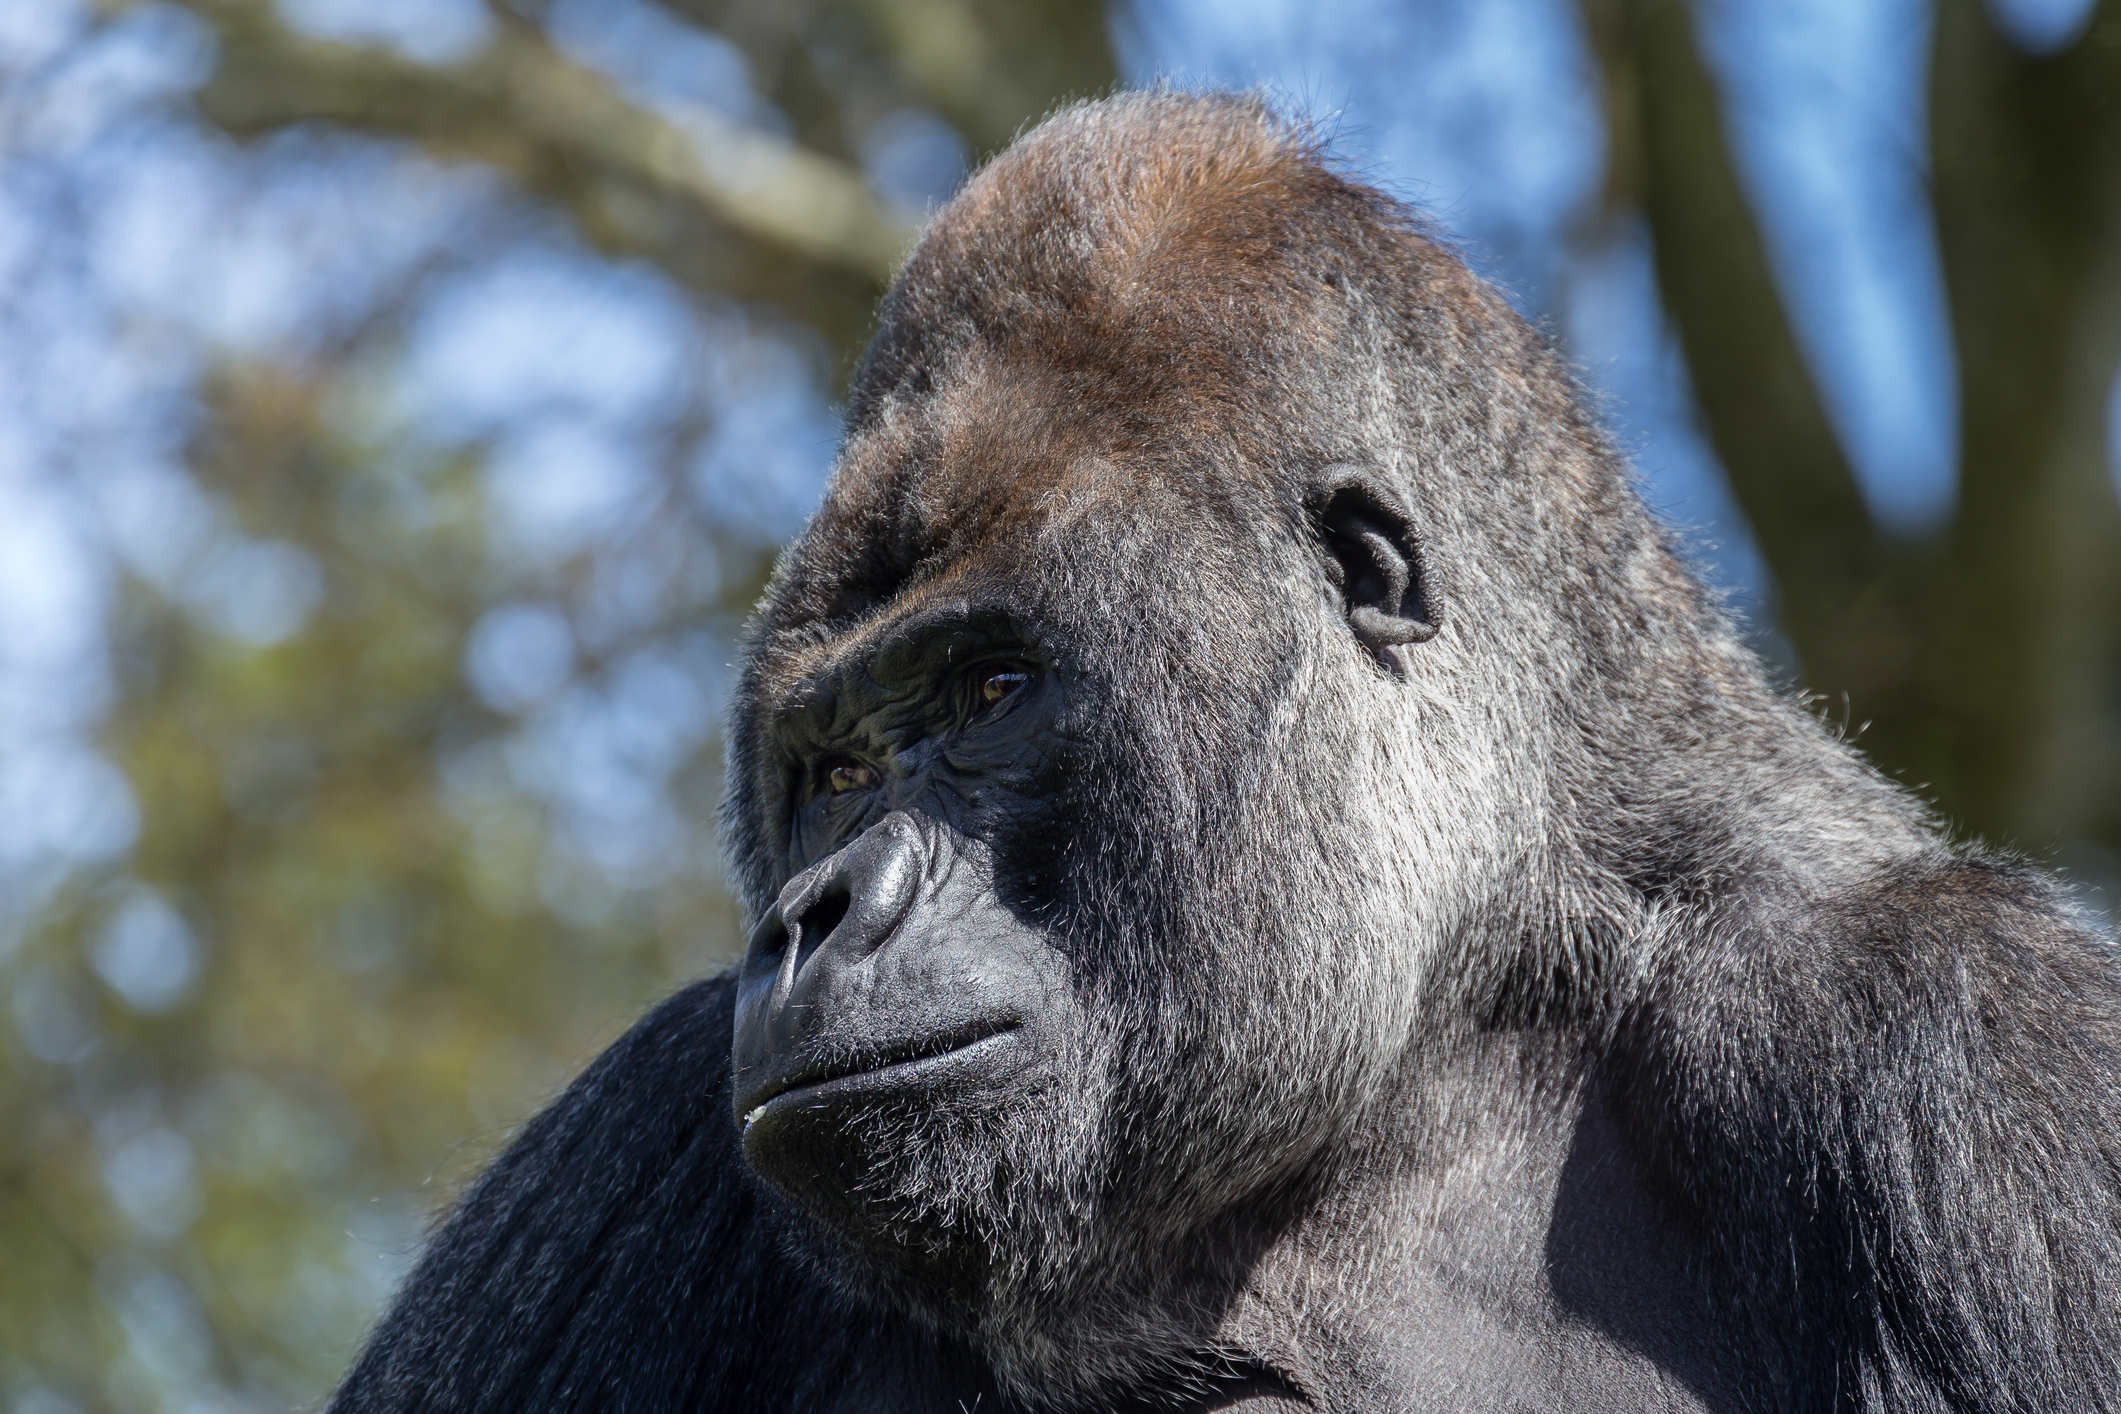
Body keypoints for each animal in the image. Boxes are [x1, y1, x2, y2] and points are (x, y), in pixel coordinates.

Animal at [327, 91, 2121, 1413]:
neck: (1454, 1004)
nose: (814, 914)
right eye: (830, 772)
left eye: (989, 692)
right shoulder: (633, 1135)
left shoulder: (1980, 1050)